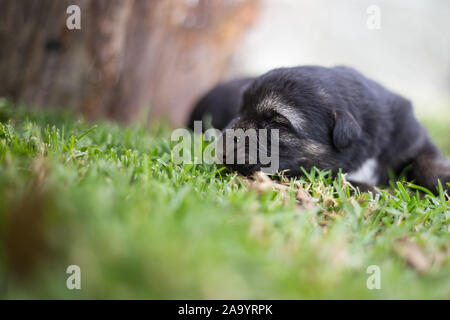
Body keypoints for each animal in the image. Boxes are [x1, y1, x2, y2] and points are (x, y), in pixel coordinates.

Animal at [188, 65, 448, 192]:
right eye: (239, 111)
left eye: (277, 123)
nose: (219, 151)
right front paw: (374, 190)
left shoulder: (411, 137)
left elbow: (429, 160)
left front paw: (444, 181)